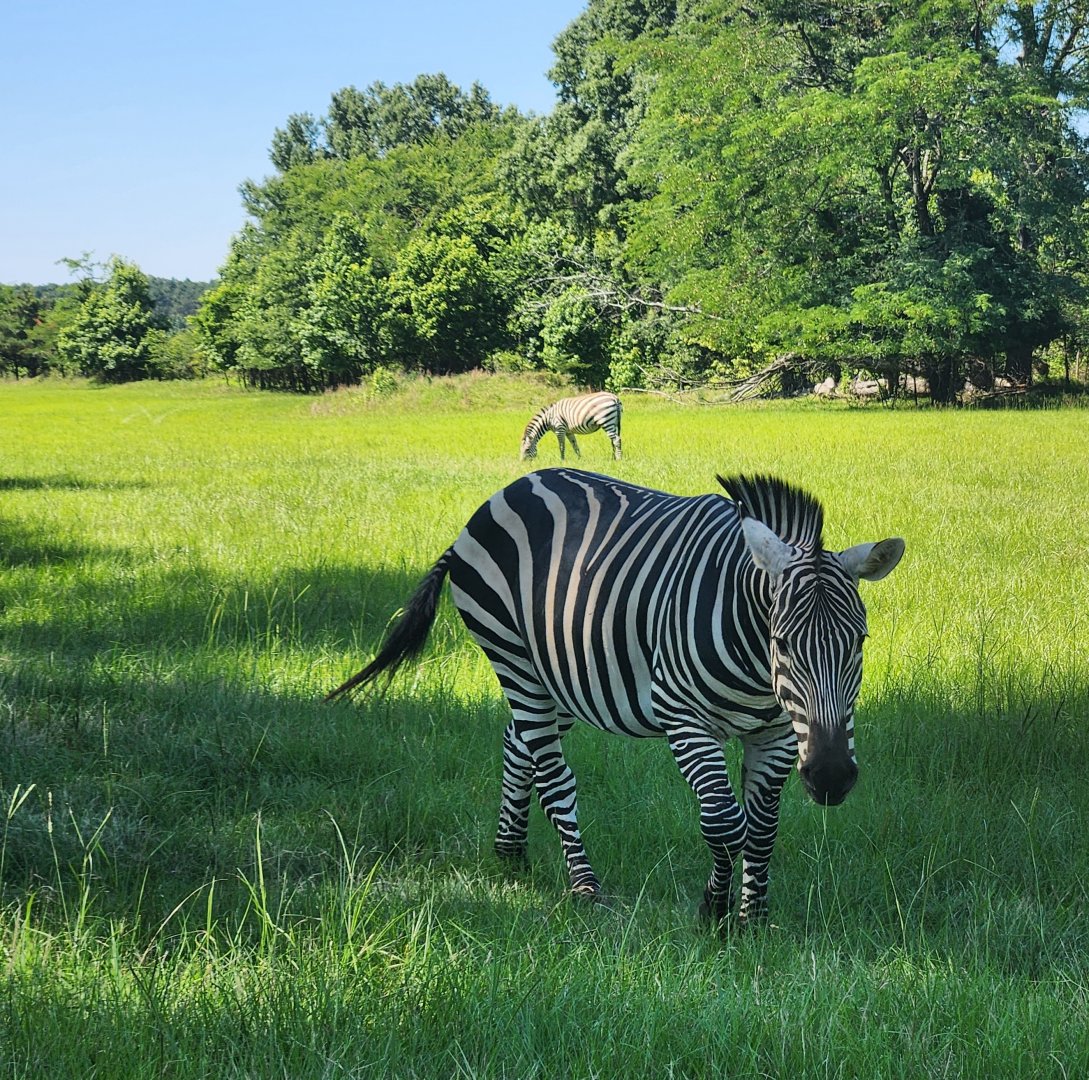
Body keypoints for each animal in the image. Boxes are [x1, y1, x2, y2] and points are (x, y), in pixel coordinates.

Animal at [327, 468, 904, 924]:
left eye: (859, 641)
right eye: (781, 642)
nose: (831, 777)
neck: (757, 664)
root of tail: (505, 491)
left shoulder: (778, 733)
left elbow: (761, 829)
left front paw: (754, 917)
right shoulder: (684, 716)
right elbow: (724, 824)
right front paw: (714, 911)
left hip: (559, 678)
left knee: (518, 745)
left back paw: (510, 853)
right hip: (512, 657)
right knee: (553, 776)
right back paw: (584, 886)